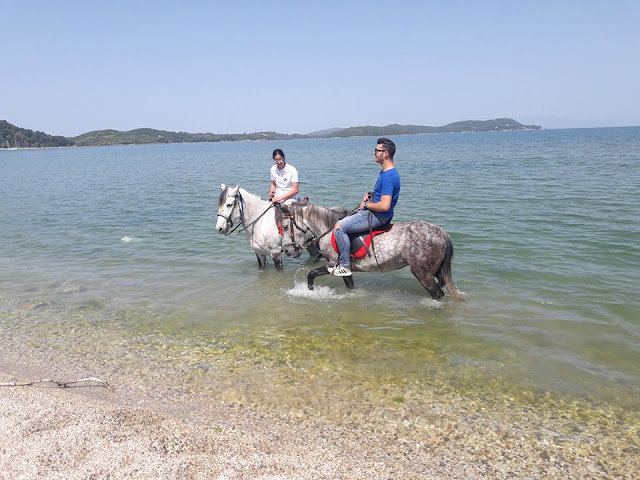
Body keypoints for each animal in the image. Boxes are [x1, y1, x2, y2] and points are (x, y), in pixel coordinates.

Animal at [282, 202, 462, 300]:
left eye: (284, 226)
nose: (287, 250)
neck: (329, 230)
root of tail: (442, 233)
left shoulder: (332, 265)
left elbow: (311, 274)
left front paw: (310, 291)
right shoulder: (346, 269)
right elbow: (350, 285)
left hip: (422, 273)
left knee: (437, 293)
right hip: (434, 270)